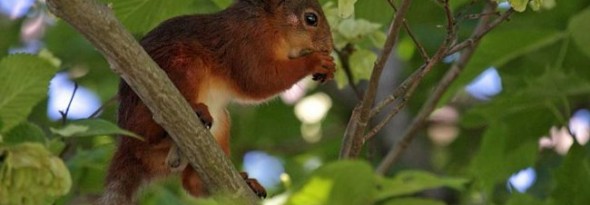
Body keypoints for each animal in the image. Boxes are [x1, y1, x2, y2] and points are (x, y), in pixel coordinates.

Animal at [99, 0, 336, 203]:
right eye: (311, 19)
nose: (329, 47)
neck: (268, 21)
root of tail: (127, 145)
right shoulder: (245, 41)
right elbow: (258, 80)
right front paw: (315, 61)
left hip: (220, 123)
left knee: (191, 184)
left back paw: (243, 183)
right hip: (181, 67)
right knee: (151, 133)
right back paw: (188, 115)